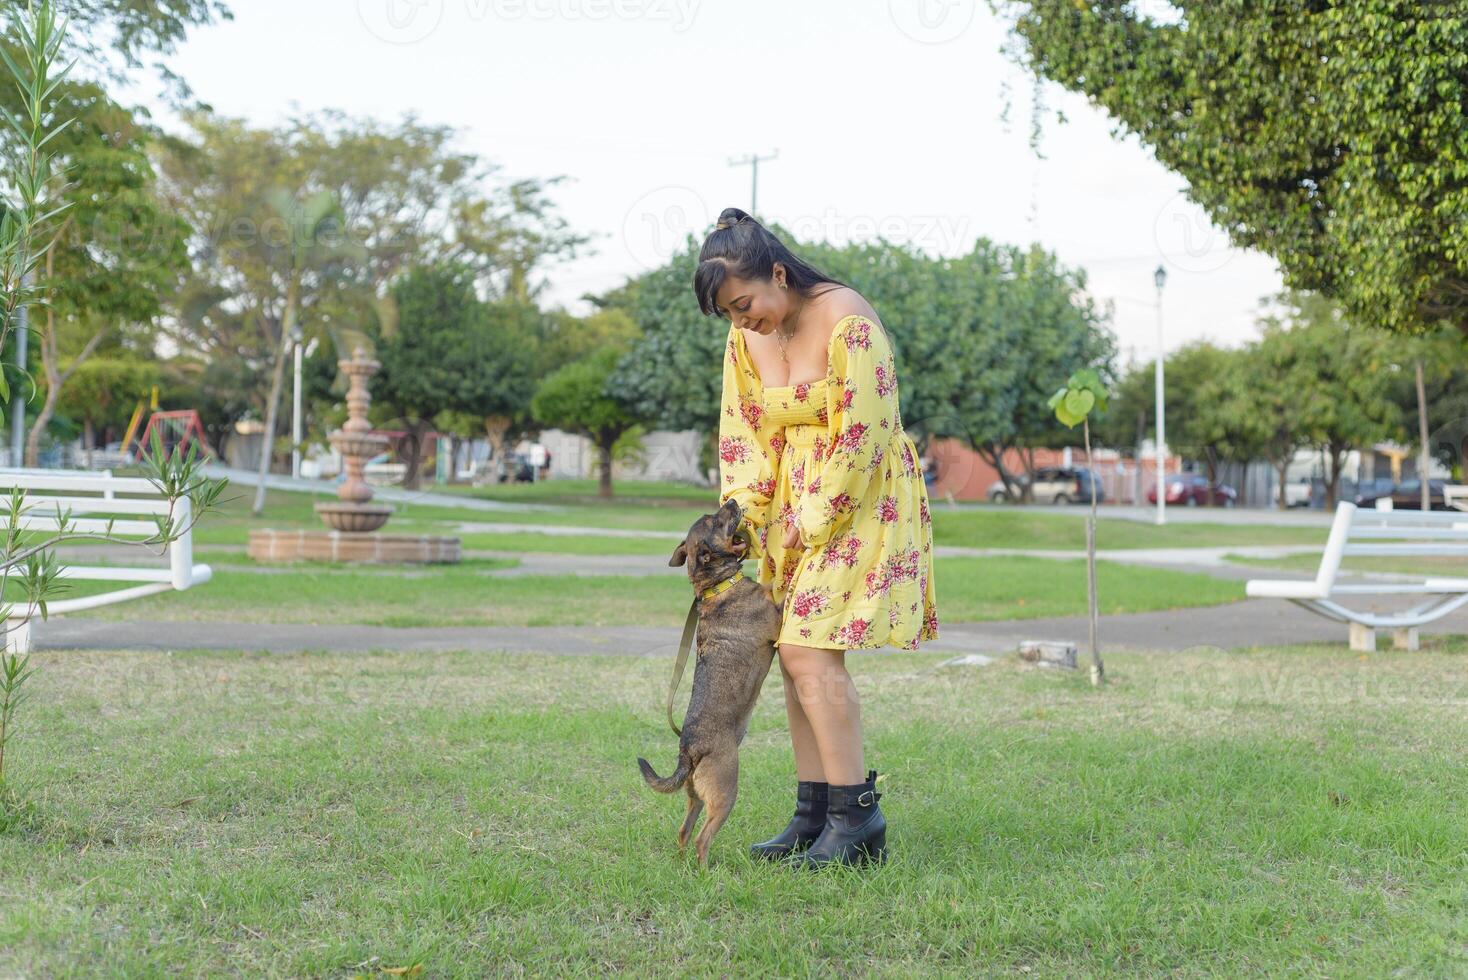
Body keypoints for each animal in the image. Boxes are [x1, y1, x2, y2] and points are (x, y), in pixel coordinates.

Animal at [637, 498, 786, 862]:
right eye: (716, 520)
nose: (732, 501)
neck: (716, 587)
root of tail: (688, 749)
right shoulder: (775, 614)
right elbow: (782, 588)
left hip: (696, 796)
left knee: (684, 831)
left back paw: (682, 865)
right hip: (725, 791)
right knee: (702, 839)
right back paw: (706, 869)